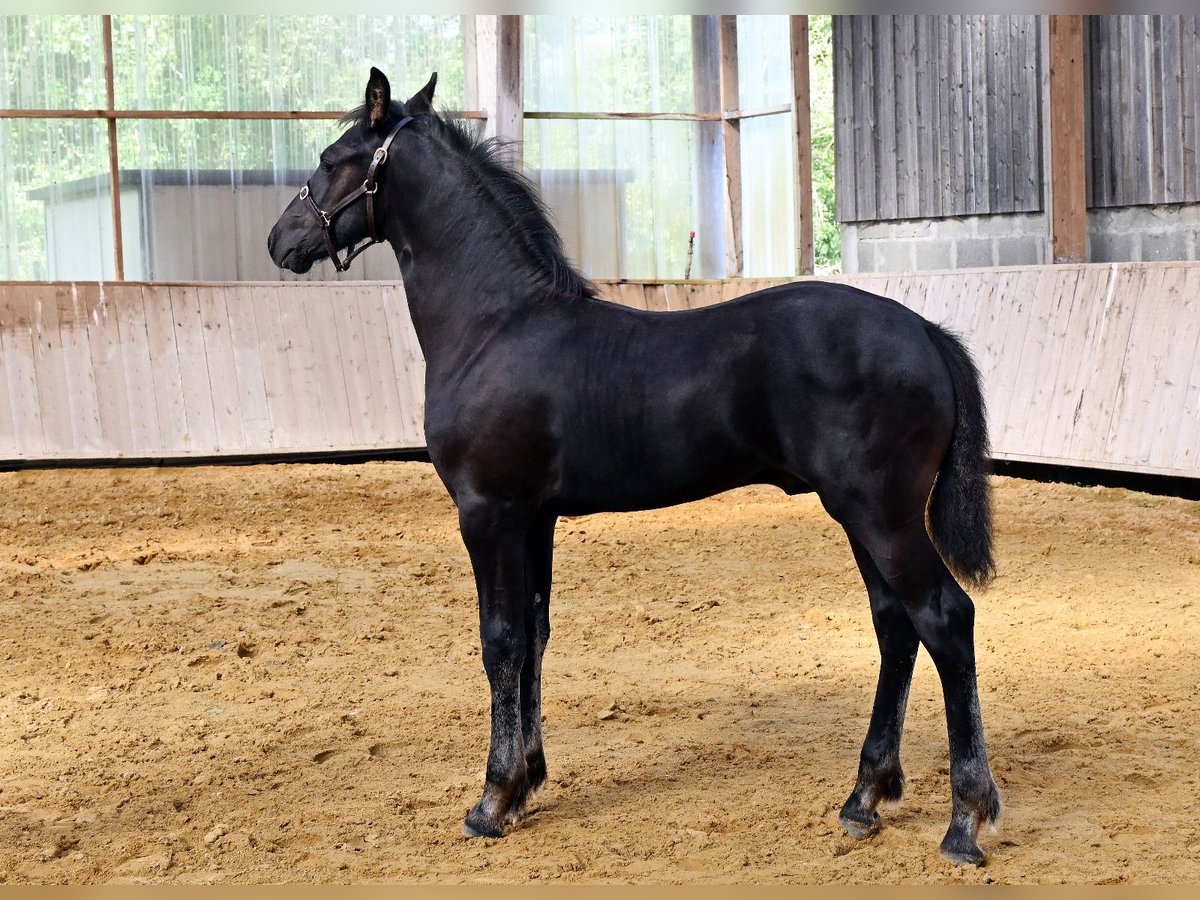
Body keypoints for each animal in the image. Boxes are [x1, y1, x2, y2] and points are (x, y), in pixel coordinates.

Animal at [268, 68, 1003, 866]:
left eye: (332, 158)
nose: (281, 239)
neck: (495, 324)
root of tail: (925, 331)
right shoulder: (535, 519)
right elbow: (533, 636)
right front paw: (527, 782)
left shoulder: (488, 513)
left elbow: (500, 641)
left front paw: (492, 799)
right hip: (862, 517)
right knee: (896, 629)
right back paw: (865, 796)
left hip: (882, 516)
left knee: (944, 619)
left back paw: (965, 820)